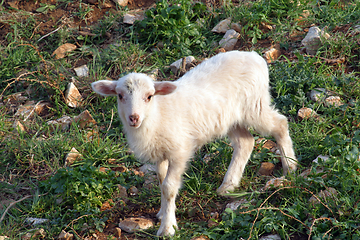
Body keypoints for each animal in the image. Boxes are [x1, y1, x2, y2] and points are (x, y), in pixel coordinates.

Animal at [91, 50, 296, 236]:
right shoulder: (161, 153)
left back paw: (290, 166)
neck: (157, 115)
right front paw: (163, 213)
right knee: (246, 142)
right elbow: (161, 181)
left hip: (254, 105)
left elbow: (169, 187)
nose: (134, 118)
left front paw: (168, 228)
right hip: (231, 118)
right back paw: (228, 185)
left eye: (149, 96)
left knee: (280, 124)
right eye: (119, 95)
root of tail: (255, 56)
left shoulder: (179, 151)